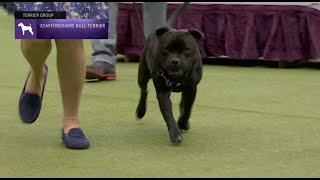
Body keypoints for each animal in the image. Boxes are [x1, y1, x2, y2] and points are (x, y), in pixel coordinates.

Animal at [135, 2, 205, 145]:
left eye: (187, 49)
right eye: (166, 49)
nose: (175, 61)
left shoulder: (191, 88)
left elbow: (187, 108)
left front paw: (183, 123)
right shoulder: (163, 93)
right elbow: (168, 114)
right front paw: (175, 133)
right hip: (143, 74)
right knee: (144, 90)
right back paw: (140, 110)